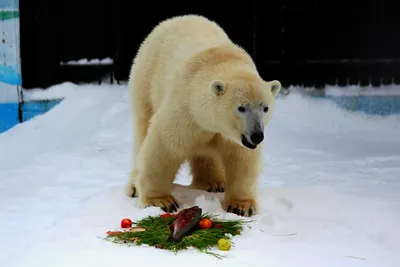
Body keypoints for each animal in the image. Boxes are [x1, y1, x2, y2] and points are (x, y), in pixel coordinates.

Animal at [126, 14, 282, 218]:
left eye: (265, 108)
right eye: (241, 108)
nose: (257, 135)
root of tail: (173, 19)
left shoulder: (229, 134)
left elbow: (241, 158)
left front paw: (241, 206)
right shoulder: (186, 108)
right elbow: (164, 146)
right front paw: (160, 201)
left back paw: (213, 183)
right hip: (146, 80)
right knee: (142, 129)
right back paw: (133, 187)